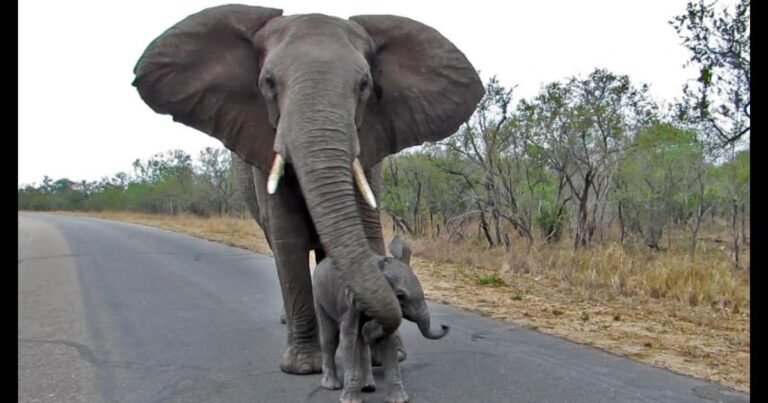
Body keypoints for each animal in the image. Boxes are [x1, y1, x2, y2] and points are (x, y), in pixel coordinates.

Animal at [132, 4, 480, 376]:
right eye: (268, 83)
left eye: (364, 85)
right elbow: (289, 240)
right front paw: (303, 366)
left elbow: (367, 231)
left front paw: (385, 355)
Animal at [310, 235, 448, 402]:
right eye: (400, 296)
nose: (445, 326)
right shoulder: (349, 304)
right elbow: (348, 339)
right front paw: (350, 400)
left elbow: (387, 342)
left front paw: (399, 400)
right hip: (319, 297)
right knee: (330, 337)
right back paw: (331, 385)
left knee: (360, 343)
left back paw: (368, 387)